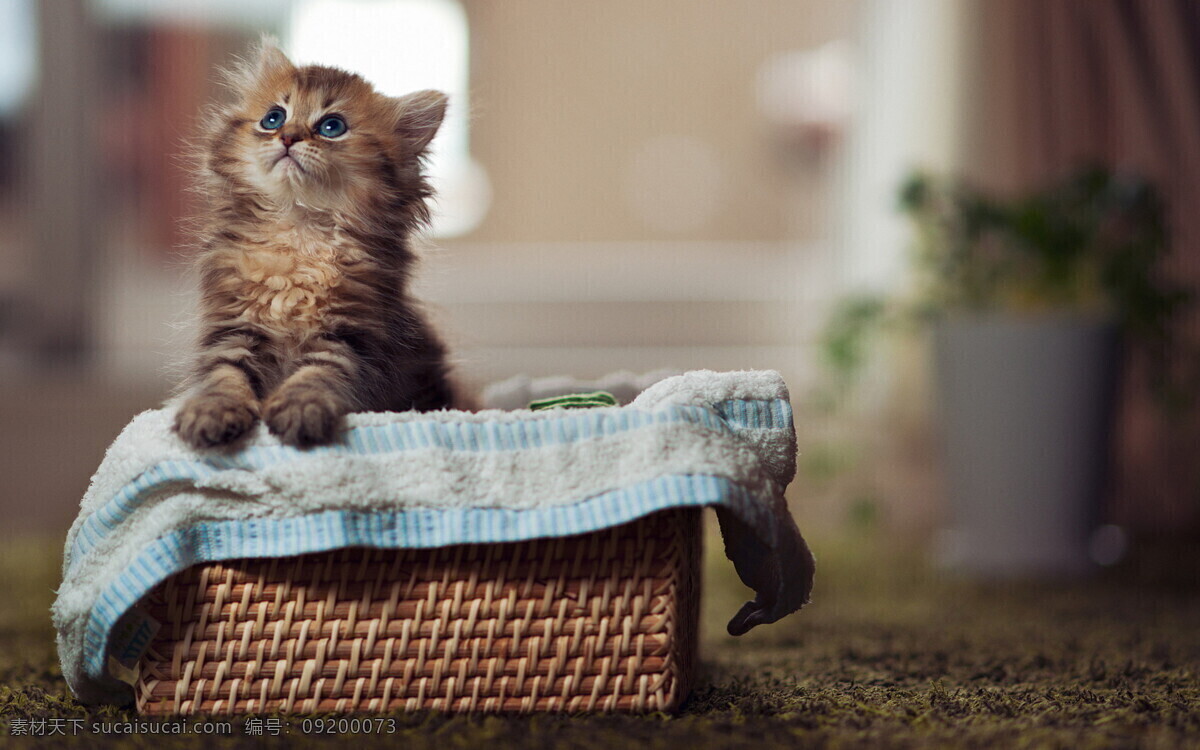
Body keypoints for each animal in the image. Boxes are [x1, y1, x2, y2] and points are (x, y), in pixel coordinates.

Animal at [175, 40, 472, 446]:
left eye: (332, 127)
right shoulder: (233, 327)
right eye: (273, 118)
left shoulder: (351, 337)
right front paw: (211, 411)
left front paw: (301, 410)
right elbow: (223, 375)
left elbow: (318, 375)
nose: (288, 136)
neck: (298, 233)